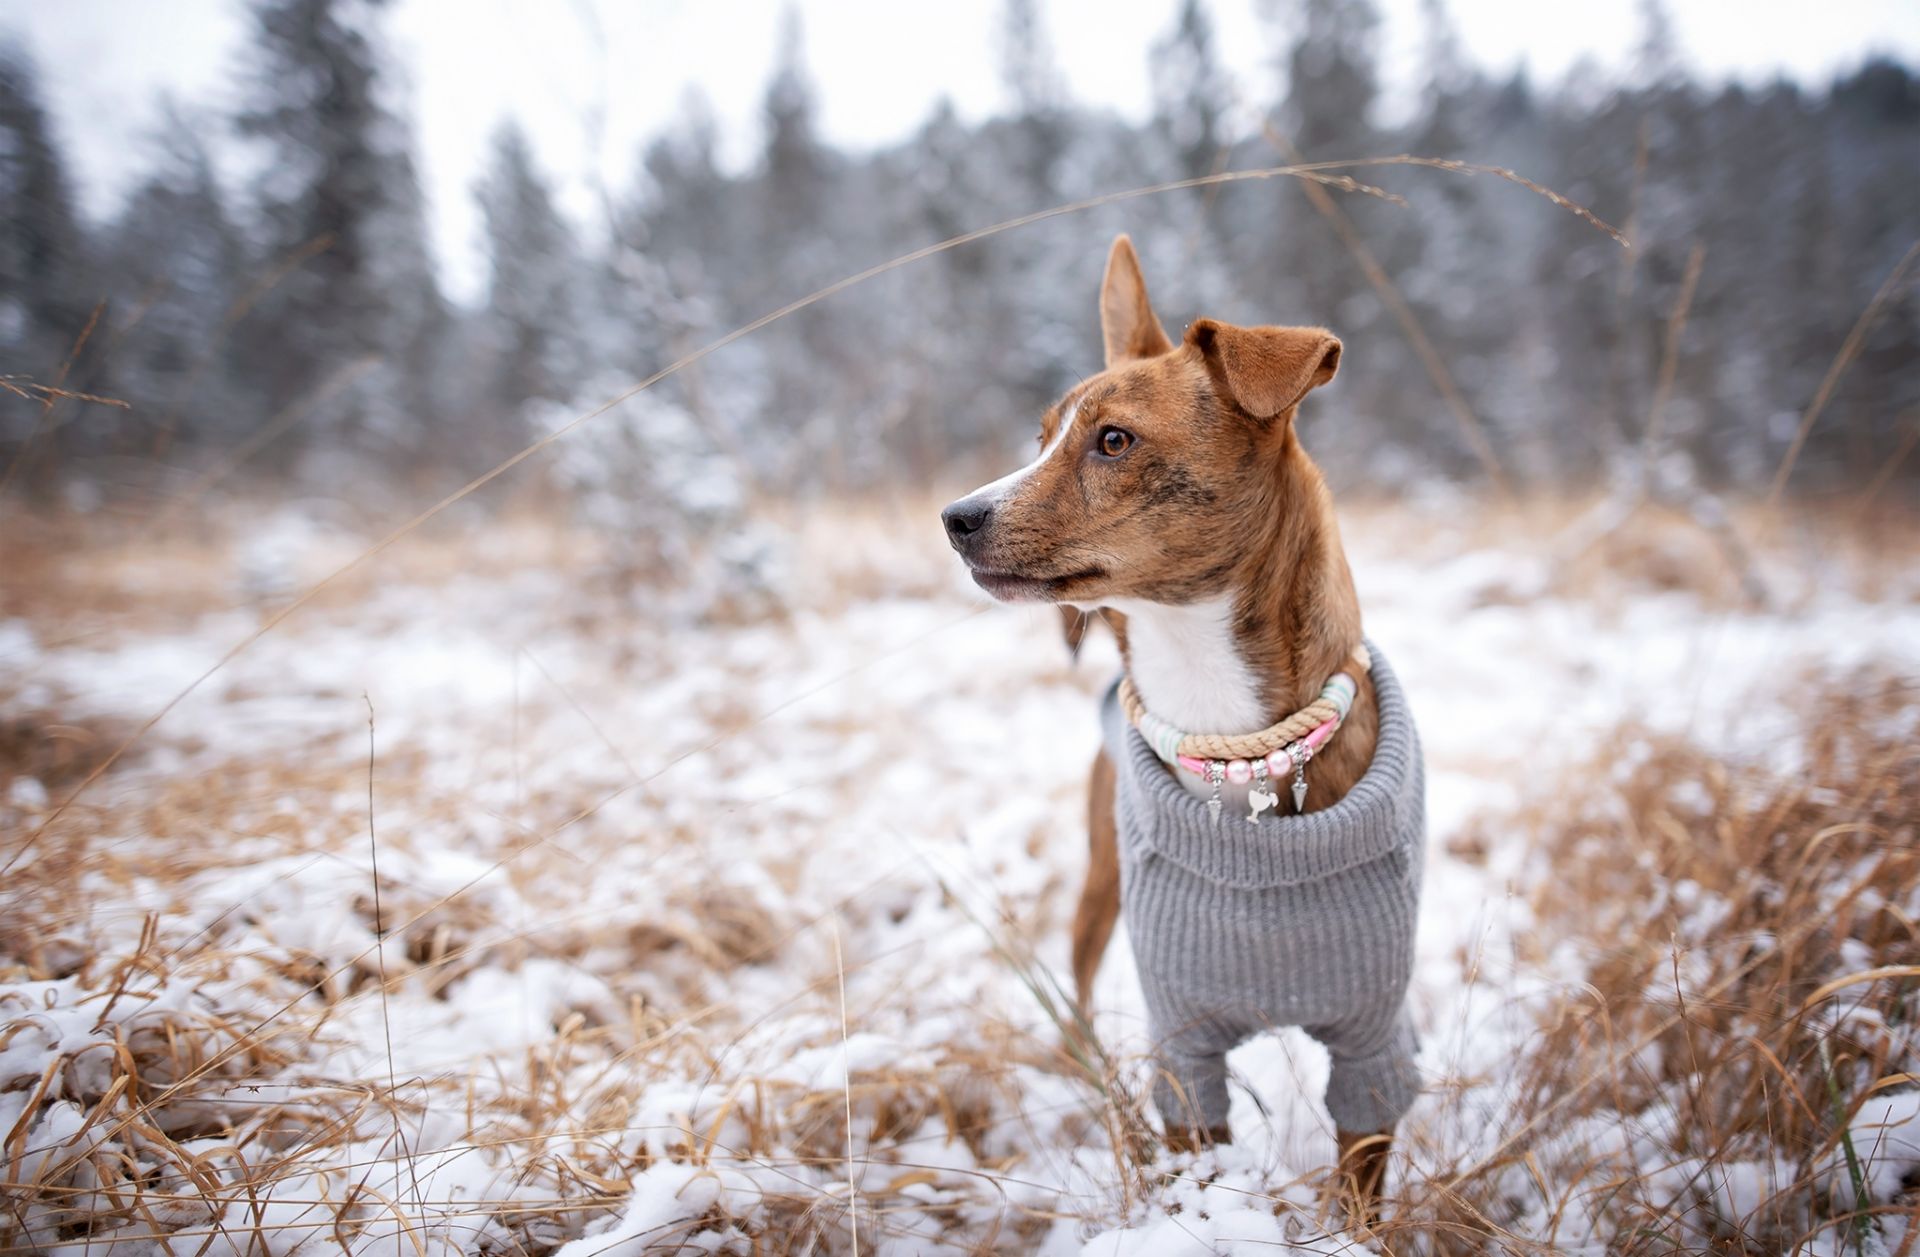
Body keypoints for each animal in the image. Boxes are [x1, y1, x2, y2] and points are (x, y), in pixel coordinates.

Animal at [944, 233, 1397, 1220]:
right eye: (1042, 437)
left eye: (1114, 440)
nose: (956, 516)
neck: (1232, 742)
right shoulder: (1185, 1050)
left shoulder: (1376, 1041)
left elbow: (1359, 1179)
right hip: (1098, 888)